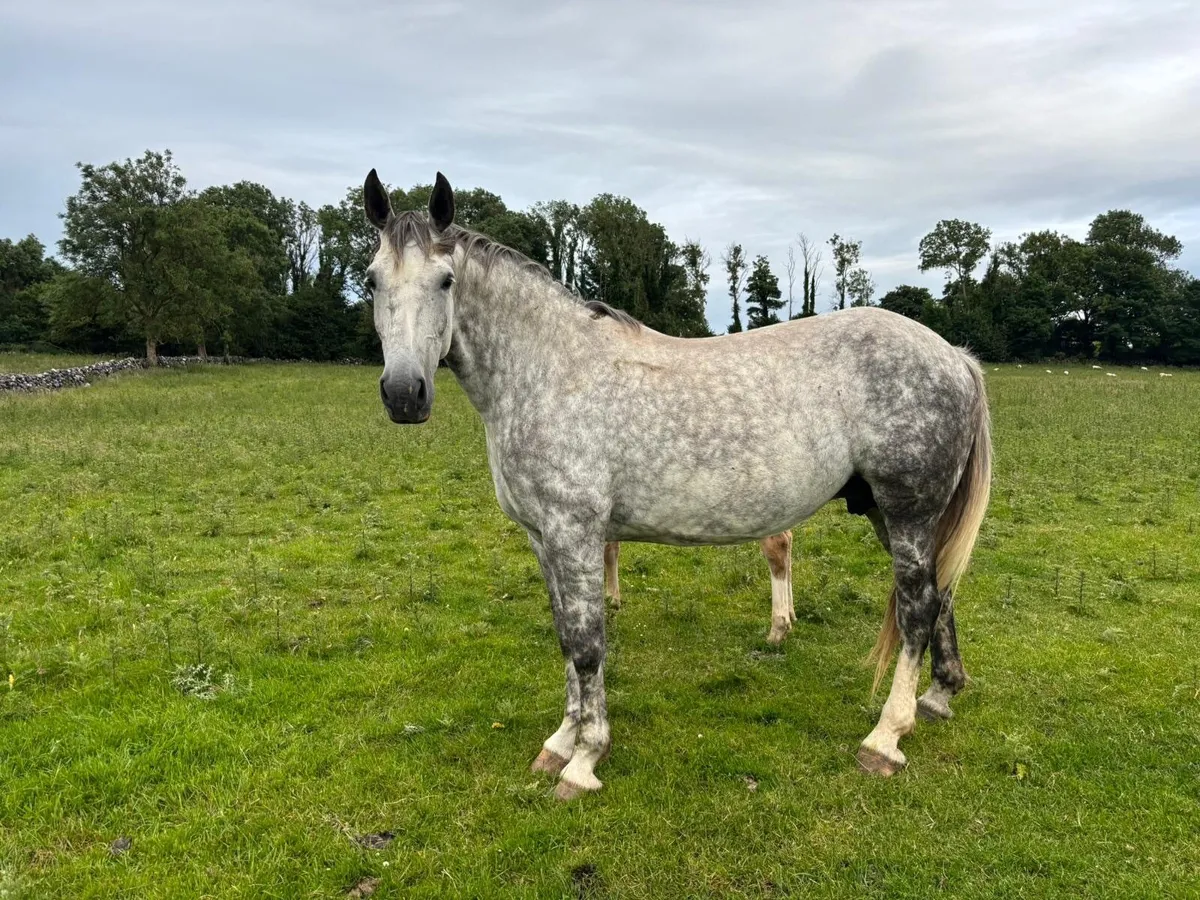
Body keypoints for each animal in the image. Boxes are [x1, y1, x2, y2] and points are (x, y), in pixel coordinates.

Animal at [604, 535, 799, 645]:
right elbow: (611, 548)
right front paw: (612, 601)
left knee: (777, 544)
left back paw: (777, 630)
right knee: (788, 539)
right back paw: (790, 613)